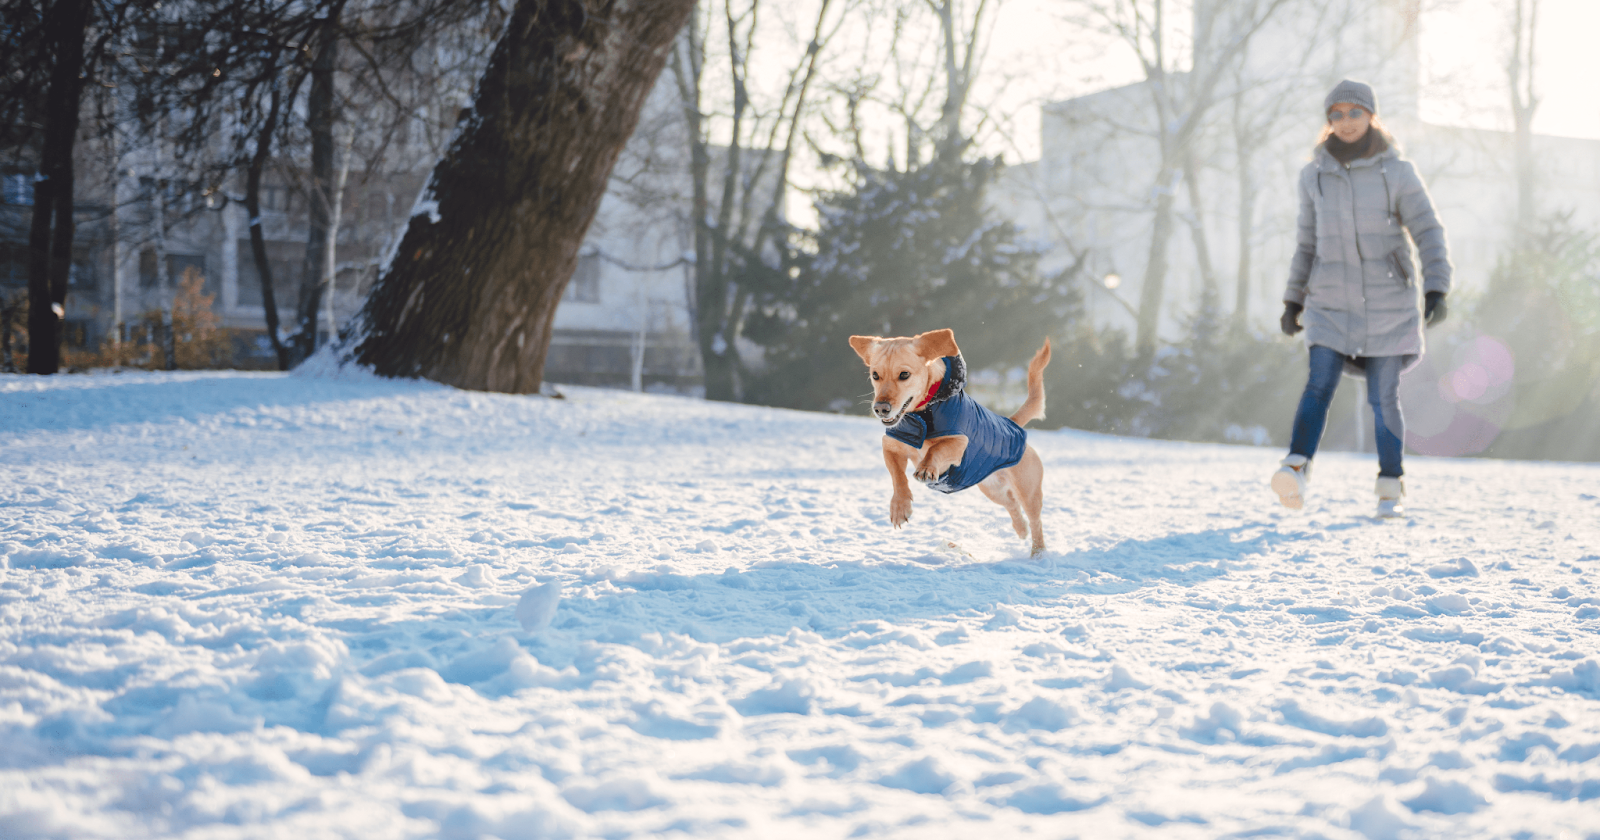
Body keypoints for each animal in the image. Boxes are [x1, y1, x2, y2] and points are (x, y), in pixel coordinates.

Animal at [844, 329, 1056, 556]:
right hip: (992, 489)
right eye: (875, 375)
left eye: (904, 374)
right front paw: (900, 507)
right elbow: (897, 477)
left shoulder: (959, 443)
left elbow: (936, 449)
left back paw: (1038, 552)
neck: (922, 414)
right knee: (1012, 505)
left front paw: (927, 468)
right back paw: (1021, 529)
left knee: (1035, 521)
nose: (880, 408)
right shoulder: (890, 445)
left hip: (1028, 491)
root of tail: (1012, 423)